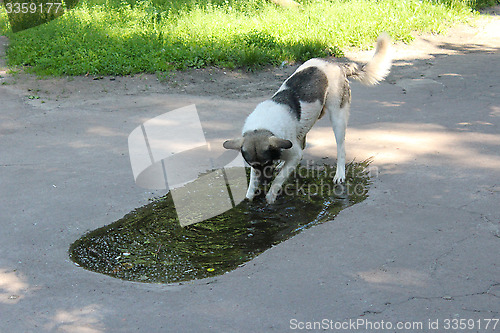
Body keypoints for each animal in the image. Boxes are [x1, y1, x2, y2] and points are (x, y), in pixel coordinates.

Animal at [225, 33, 392, 202]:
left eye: (268, 162)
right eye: (253, 165)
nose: (264, 183)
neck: (263, 127)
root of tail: (337, 65)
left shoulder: (294, 155)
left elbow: (279, 179)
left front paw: (270, 196)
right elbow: (252, 183)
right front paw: (250, 196)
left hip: (338, 119)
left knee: (341, 149)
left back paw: (340, 173)